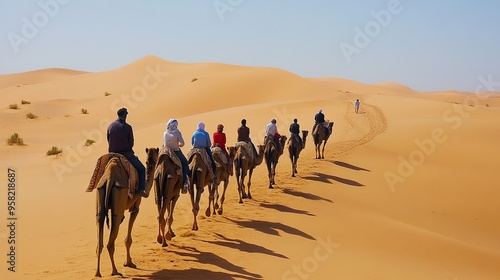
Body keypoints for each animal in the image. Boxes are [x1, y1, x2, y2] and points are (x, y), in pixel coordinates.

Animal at [93, 149, 157, 278]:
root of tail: (110, 177)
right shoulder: (136, 206)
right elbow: (128, 239)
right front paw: (129, 263)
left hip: (100, 191)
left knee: (99, 240)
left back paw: (97, 273)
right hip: (120, 192)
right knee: (111, 238)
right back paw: (115, 271)